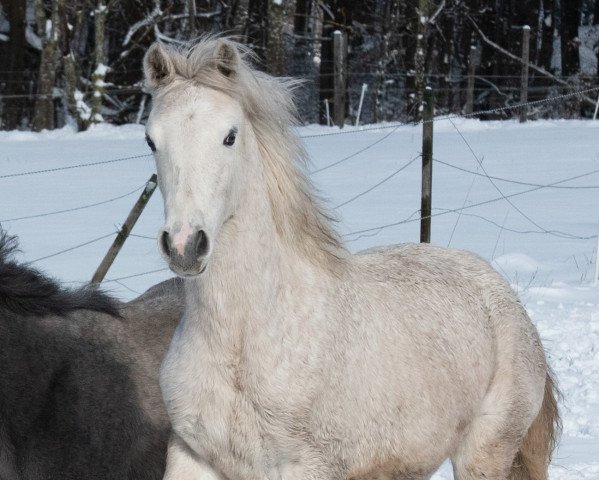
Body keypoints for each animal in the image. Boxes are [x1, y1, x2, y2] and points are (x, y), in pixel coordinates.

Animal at [143, 38, 560, 480]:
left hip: (484, 453)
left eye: (229, 136)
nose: (185, 245)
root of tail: (503, 294)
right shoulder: (192, 455)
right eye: (151, 140)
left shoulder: (308, 467)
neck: (244, 345)